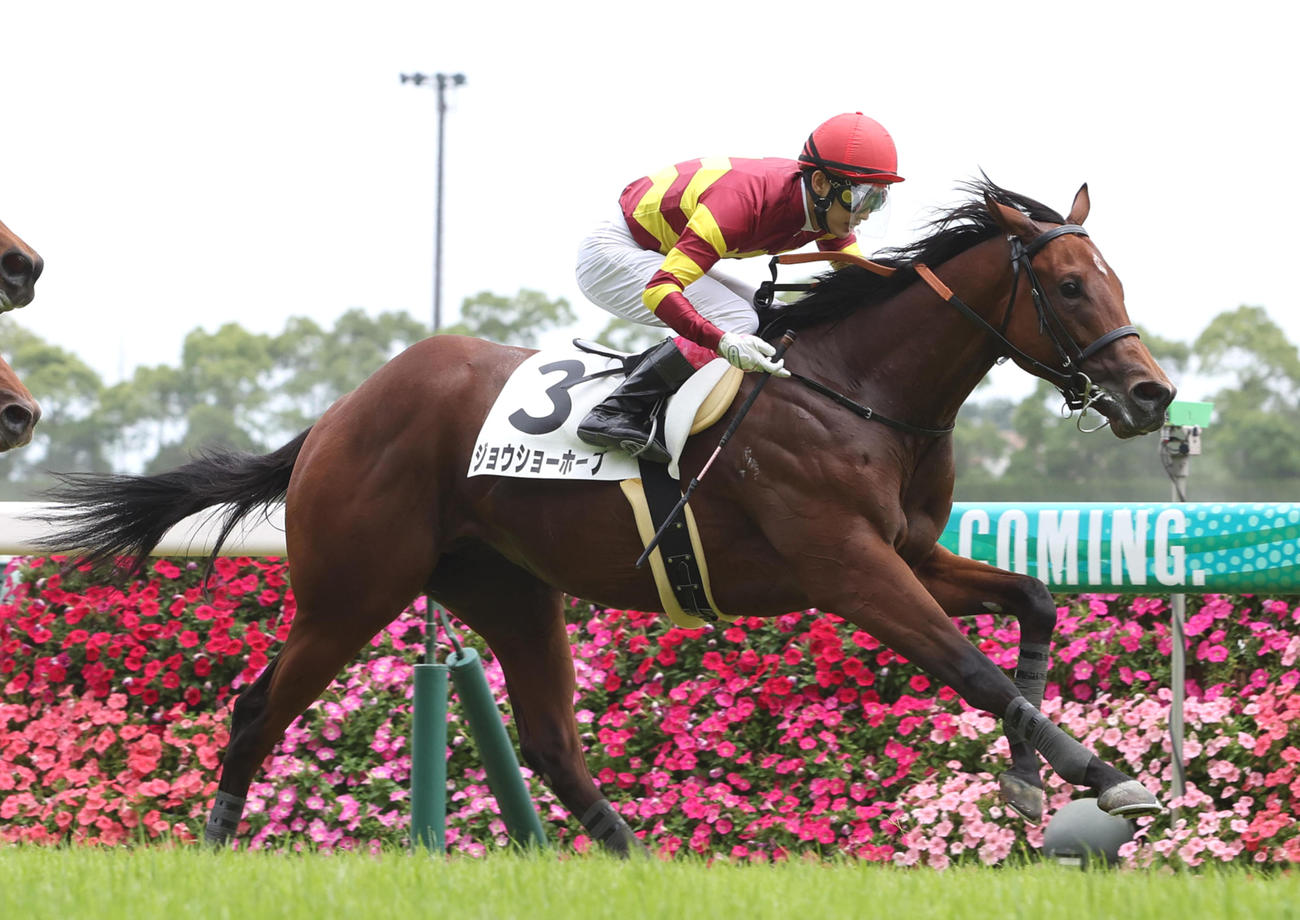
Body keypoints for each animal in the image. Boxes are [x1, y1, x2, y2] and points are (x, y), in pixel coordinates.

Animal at [42, 178, 1175, 853]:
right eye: (1070, 285)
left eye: (1115, 277)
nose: (1150, 393)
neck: (857, 389)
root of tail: (336, 416)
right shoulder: (849, 567)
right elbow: (969, 666)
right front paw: (1107, 778)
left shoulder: (908, 550)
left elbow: (1031, 604)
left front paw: (1032, 783)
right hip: (350, 589)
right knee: (257, 707)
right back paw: (216, 837)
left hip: (506, 586)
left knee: (548, 739)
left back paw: (634, 858)